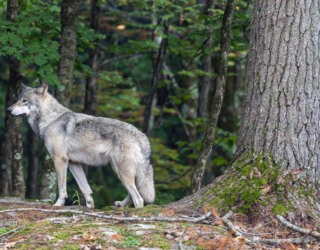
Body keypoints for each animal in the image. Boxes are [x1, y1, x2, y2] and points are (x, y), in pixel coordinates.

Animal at [5, 82, 154, 209]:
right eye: (18, 99)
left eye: (25, 100)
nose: (8, 110)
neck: (51, 120)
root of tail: (142, 136)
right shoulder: (73, 163)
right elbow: (86, 189)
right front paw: (90, 207)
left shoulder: (60, 159)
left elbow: (62, 189)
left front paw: (58, 205)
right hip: (118, 170)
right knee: (133, 194)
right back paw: (120, 205)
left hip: (121, 171)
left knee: (139, 199)